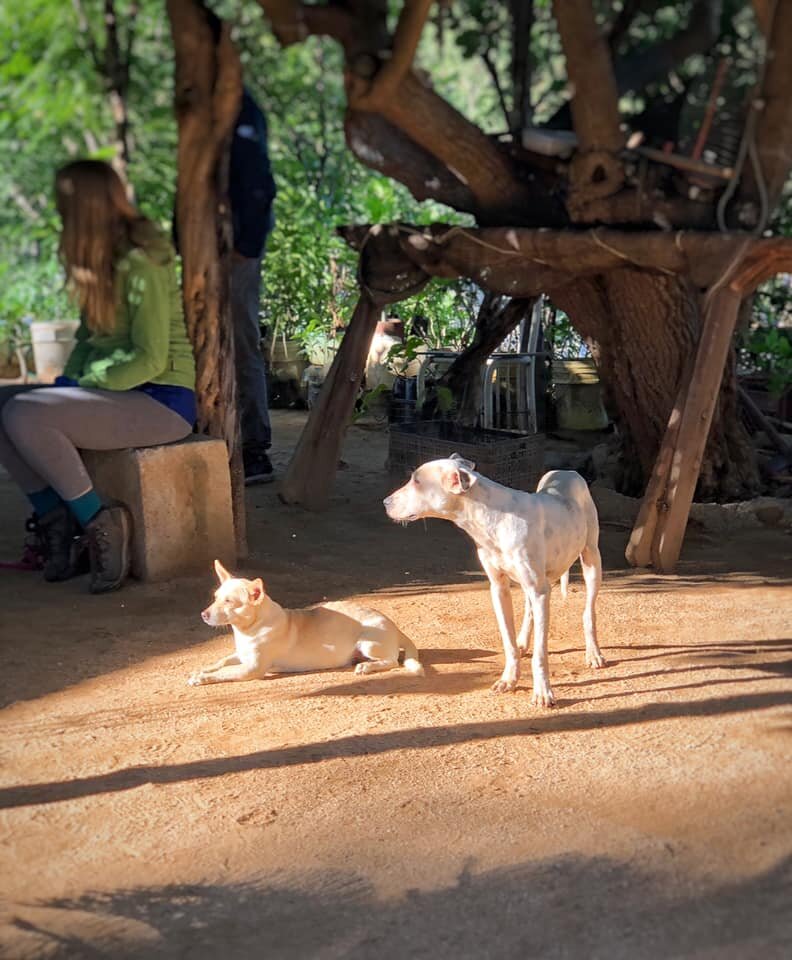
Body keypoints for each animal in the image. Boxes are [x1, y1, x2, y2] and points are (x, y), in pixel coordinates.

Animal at [189, 560, 424, 688]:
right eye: (215, 597)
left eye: (229, 602)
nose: (203, 614)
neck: (249, 629)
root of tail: (395, 627)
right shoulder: (242, 655)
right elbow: (222, 662)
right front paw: (203, 669)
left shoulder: (251, 669)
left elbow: (225, 672)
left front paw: (202, 677)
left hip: (368, 643)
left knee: (392, 661)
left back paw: (367, 666)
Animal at [382, 458, 600, 704]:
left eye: (418, 482)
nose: (385, 502)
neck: (495, 519)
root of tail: (567, 471)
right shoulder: (499, 589)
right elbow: (508, 642)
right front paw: (509, 679)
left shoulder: (539, 591)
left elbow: (540, 653)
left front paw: (543, 692)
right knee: (529, 611)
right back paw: (523, 642)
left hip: (591, 561)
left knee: (588, 612)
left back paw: (593, 653)